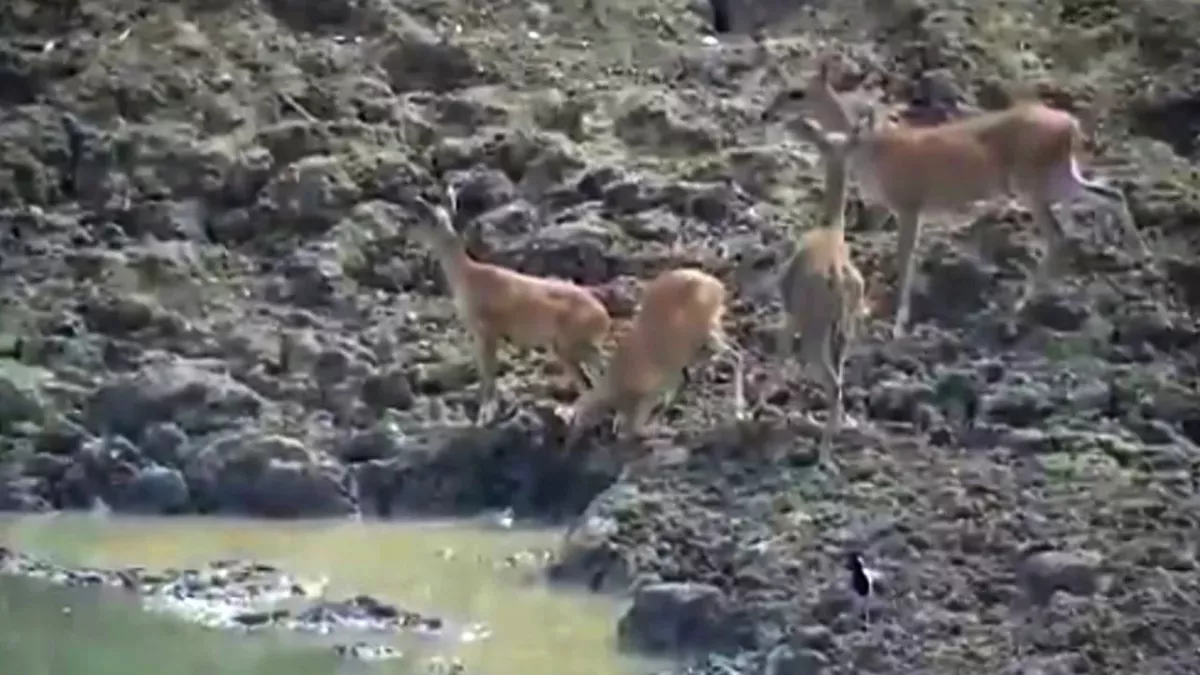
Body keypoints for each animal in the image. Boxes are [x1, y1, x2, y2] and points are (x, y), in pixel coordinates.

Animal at [406, 193, 613, 425]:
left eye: (419, 221)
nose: (406, 235)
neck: (467, 275)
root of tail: (603, 316)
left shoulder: (486, 332)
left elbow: (488, 373)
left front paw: (486, 414)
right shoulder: (484, 334)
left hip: (568, 347)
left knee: (589, 379)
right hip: (579, 347)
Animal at [562, 267, 746, 449]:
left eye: (574, 420)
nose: (569, 443)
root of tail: (715, 284)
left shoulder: (649, 395)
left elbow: (635, 428)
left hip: (707, 333)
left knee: (735, 357)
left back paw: (738, 411)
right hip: (704, 341)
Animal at [760, 56, 1148, 339]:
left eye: (796, 92)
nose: (767, 114)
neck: (874, 148)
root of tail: (1069, 125)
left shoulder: (909, 208)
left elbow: (905, 260)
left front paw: (898, 325)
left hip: (1034, 189)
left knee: (1060, 237)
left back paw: (1013, 313)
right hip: (1059, 179)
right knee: (1111, 194)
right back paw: (1139, 257)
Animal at [774, 115, 872, 459]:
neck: (830, 229)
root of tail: (837, 277)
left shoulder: (790, 315)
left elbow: (781, 353)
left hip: (816, 333)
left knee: (832, 380)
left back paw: (824, 450)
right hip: (846, 331)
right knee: (839, 377)